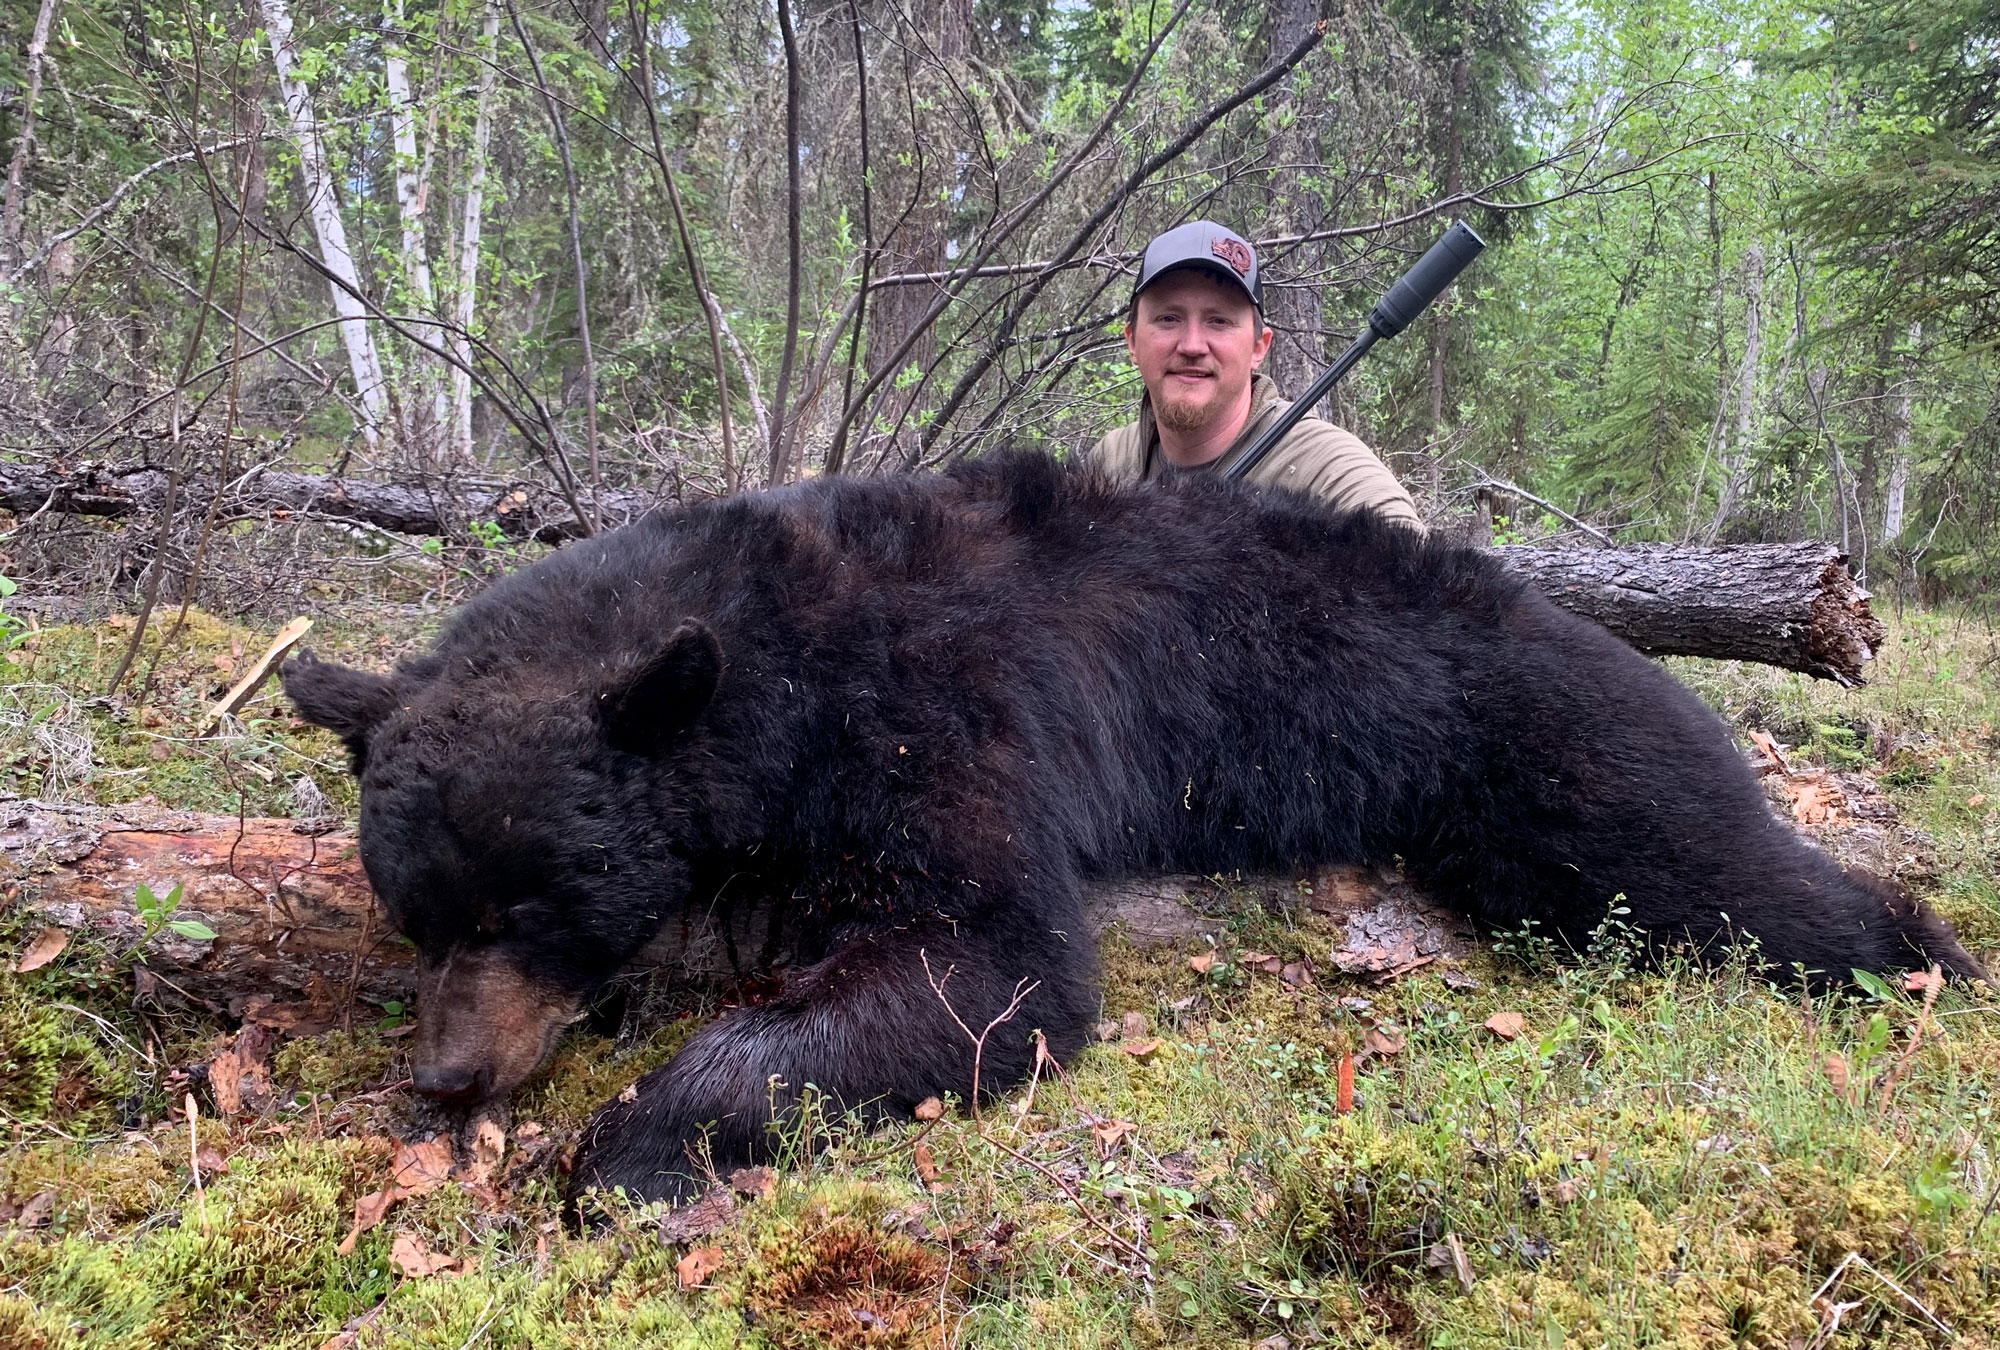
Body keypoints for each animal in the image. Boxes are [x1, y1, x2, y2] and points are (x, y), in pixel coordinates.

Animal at [282, 454, 1984, 1216]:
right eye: (417, 909)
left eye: (530, 901)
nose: (449, 1077)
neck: (779, 651)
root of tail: (1592, 620)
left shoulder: (944, 718)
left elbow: (995, 964)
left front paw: (628, 1143)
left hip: (1559, 755)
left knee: (1727, 873)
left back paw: (1929, 957)